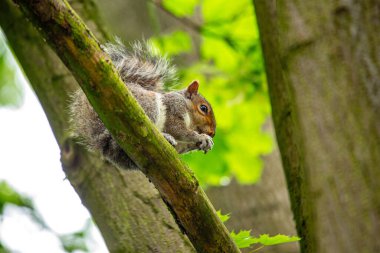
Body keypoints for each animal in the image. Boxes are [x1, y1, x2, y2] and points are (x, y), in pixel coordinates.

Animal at [69, 40, 215, 170]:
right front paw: (201, 137)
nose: (212, 133)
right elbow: (178, 129)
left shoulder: (180, 145)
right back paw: (165, 137)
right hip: (148, 107)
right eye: (203, 108)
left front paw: (203, 143)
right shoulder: (174, 107)